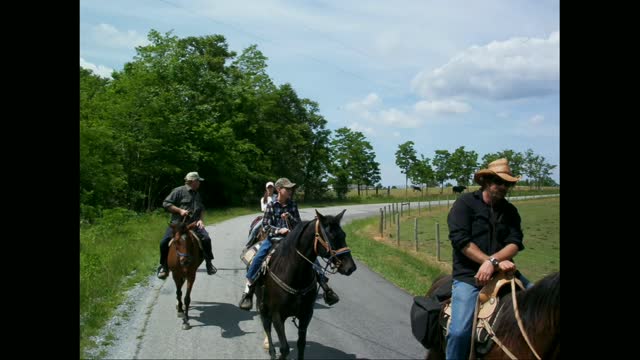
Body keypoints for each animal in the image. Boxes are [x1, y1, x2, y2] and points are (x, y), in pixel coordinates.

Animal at [254, 210, 356, 358]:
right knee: (266, 325)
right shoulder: (277, 315)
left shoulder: (306, 315)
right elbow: (284, 348)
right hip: (263, 305)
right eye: (331, 236)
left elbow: (301, 344)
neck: (295, 275)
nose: (350, 267)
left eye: (343, 235)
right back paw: (270, 349)